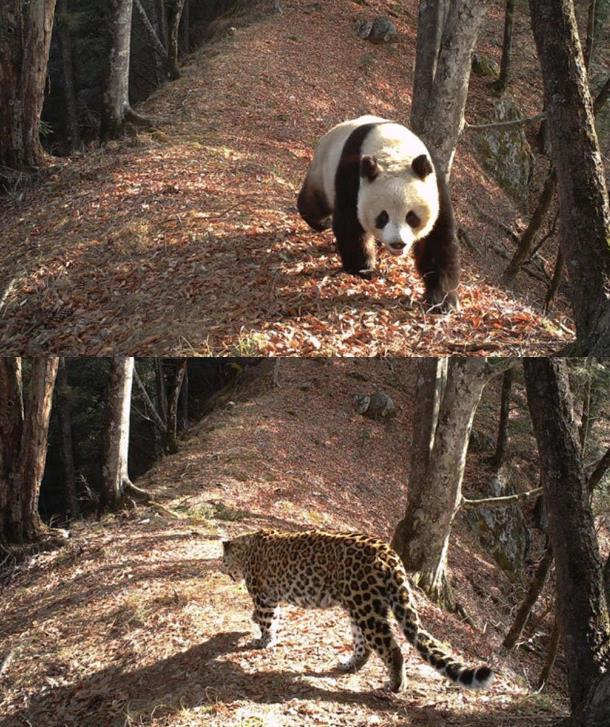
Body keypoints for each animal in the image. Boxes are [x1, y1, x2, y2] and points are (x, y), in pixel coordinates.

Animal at [221, 528, 492, 692]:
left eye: (222, 560)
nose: (223, 571)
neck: (247, 548)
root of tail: (390, 553)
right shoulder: (272, 598)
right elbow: (273, 618)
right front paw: (263, 633)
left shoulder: (263, 596)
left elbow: (266, 620)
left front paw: (262, 641)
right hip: (359, 607)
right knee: (365, 645)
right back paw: (350, 664)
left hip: (365, 607)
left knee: (392, 650)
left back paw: (395, 686)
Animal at [296, 114, 458, 310]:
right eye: (383, 217)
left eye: (412, 217)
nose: (398, 244)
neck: (394, 149)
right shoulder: (353, 175)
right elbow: (350, 224)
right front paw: (364, 269)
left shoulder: (435, 184)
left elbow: (437, 240)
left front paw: (443, 300)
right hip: (323, 170)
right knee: (315, 204)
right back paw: (320, 222)